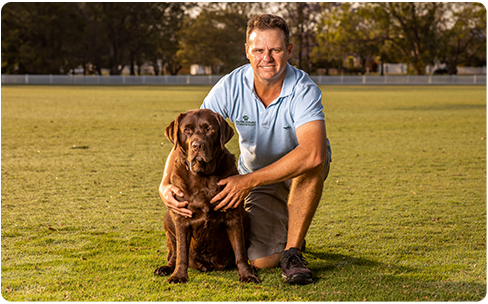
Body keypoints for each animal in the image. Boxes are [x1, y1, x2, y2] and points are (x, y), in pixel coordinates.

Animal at [155, 110, 264, 284]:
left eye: (209, 129)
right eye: (187, 130)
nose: (197, 145)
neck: (203, 177)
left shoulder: (233, 217)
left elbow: (240, 251)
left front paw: (247, 274)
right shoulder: (182, 219)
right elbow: (181, 253)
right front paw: (178, 276)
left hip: (246, 217)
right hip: (169, 219)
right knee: (174, 254)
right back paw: (166, 268)